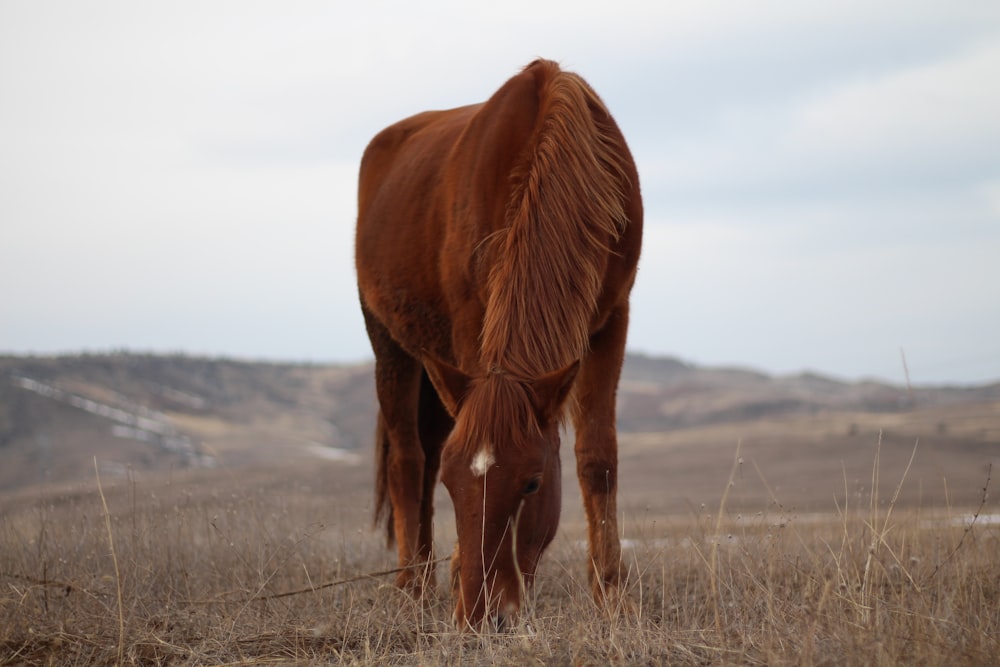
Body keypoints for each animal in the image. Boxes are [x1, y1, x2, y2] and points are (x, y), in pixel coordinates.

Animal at [356, 60, 644, 628]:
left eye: (532, 483)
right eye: (457, 485)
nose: (479, 615)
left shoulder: (611, 318)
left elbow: (597, 456)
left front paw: (610, 592)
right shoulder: (471, 322)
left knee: (424, 453)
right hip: (389, 343)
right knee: (408, 460)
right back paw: (412, 586)